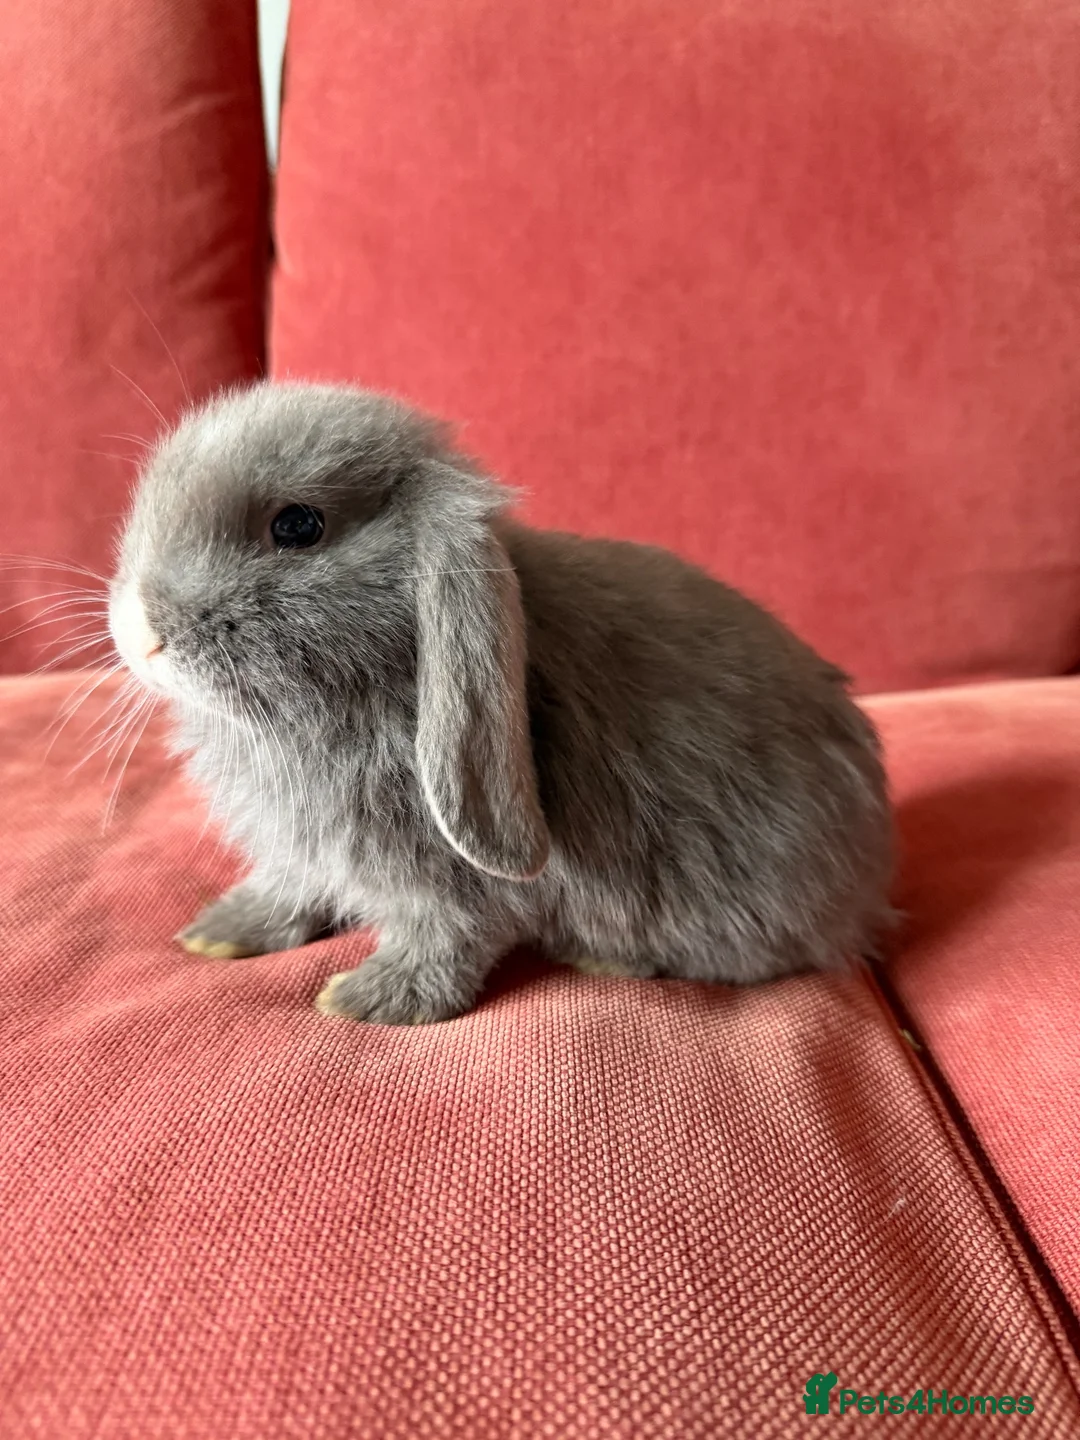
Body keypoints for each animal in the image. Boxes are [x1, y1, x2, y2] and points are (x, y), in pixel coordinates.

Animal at [108, 380, 895, 1025]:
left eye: (298, 526)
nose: (141, 633)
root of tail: (868, 884)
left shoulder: (451, 885)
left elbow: (448, 937)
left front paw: (368, 1000)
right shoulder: (302, 856)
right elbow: (287, 888)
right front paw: (218, 932)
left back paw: (606, 957)